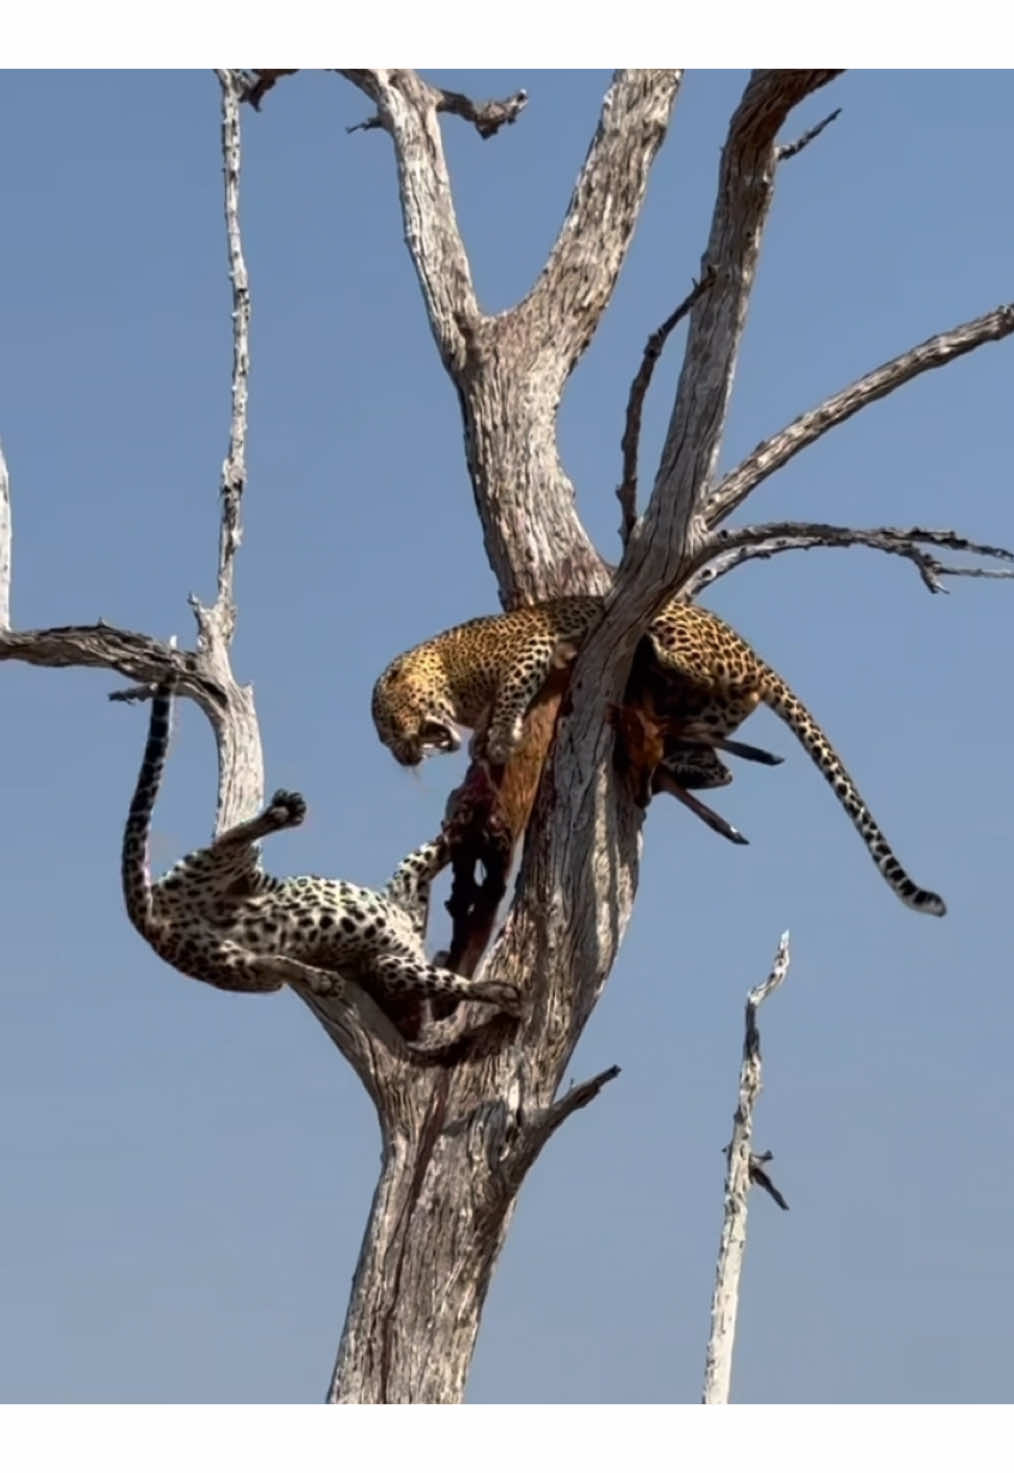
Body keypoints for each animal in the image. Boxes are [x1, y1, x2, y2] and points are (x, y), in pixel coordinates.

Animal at [120, 674, 521, 1025]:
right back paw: (282, 814)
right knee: (228, 842)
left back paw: (318, 977)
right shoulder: (388, 957)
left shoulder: (404, 903)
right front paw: (493, 992)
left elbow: (433, 851)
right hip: (219, 889)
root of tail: (151, 919)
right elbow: (446, 977)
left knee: (269, 961)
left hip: (231, 962)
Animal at [372, 592, 949, 913]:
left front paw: (499, 737)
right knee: (717, 766)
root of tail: (752, 652)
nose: (402, 758)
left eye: (387, 727)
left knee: (703, 671)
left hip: (693, 643)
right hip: (705, 715)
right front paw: (484, 744)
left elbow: (513, 693)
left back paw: (651, 648)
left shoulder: (527, 650)